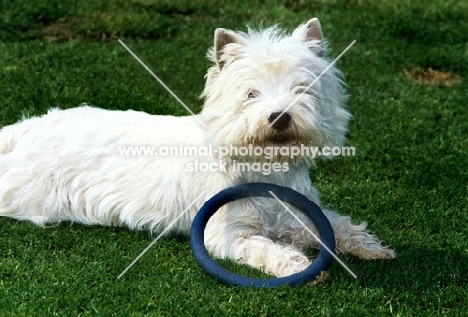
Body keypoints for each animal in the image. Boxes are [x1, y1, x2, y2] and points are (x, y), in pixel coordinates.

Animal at [0, 18, 394, 278]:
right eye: (250, 94)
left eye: (302, 89)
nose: (279, 116)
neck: (265, 167)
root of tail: (26, 128)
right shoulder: (226, 234)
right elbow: (262, 245)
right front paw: (298, 265)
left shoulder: (294, 211)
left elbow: (335, 222)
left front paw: (372, 247)